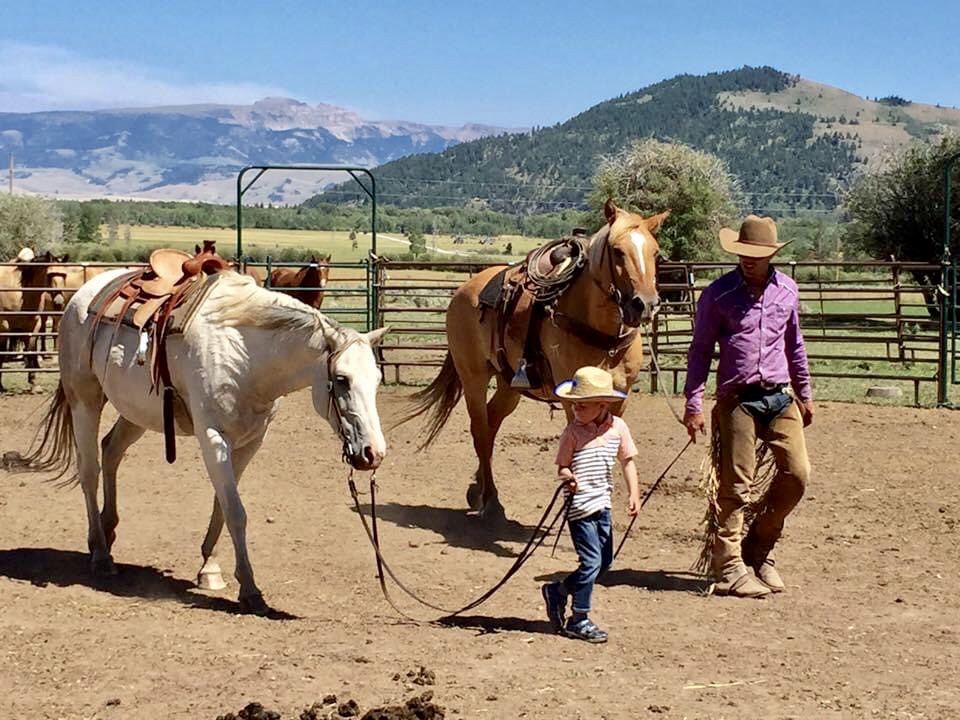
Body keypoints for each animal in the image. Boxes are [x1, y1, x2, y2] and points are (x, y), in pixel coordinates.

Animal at [13, 253, 388, 612]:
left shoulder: (251, 440)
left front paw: (210, 569)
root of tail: (81, 296)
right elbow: (236, 511)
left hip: (136, 410)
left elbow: (222, 503)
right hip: (85, 400)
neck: (246, 354)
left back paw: (106, 530)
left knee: (111, 449)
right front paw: (250, 590)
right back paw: (102, 555)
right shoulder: (212, 437)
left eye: (377, 380)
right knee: (89, 470)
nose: (374, 453)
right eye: (341, 379)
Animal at [400, 200, 668, 520]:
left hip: (508, 384)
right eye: (616, 250)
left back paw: (479, 490)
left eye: (655, 252)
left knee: (491, 425)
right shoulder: (572, 400)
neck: (603, 335)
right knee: (480, 429)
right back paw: (489, 500)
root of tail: (463, 292)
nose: (645, 304)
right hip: (473, 376)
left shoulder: (620, 398)